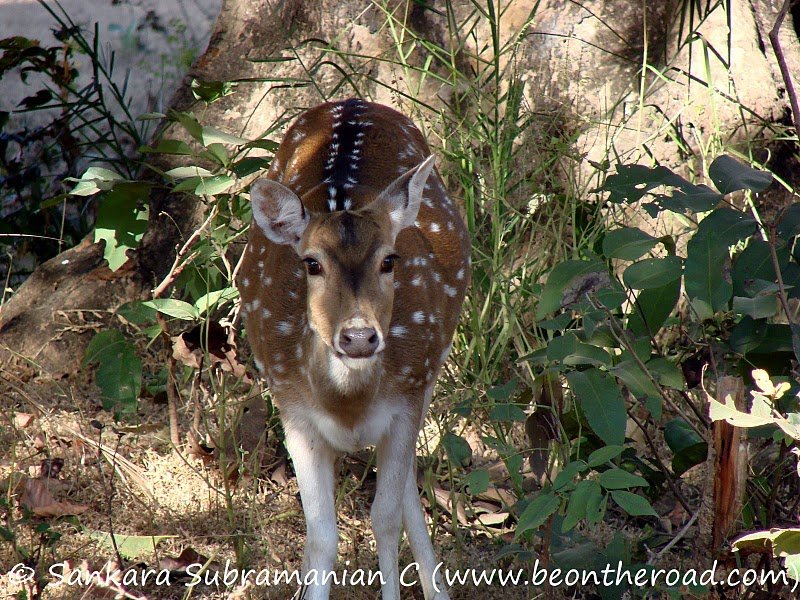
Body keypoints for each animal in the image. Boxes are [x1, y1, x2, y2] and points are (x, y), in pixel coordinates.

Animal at [238, 99, 472, 600]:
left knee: (404, 491)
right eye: (311, 263)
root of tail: (353, 102)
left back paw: (437, 589)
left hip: (431, 369)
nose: (359, 337)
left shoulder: (406, 398)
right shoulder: (294, 412)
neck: (348, 405)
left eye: (389, 260)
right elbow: (322, 535)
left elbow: (384, 519)